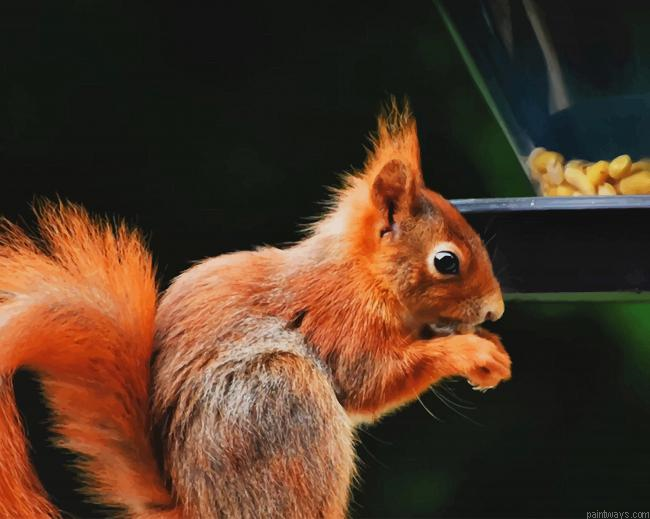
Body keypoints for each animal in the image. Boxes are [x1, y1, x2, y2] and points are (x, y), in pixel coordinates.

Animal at [0, 100, 511, 518]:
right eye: (446, 262)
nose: (495, 310)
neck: (362, 276)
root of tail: (195, 507)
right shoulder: (341, 324)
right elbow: (374, 380)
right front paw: (473, 352)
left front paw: (491, 348)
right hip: (281, 400)